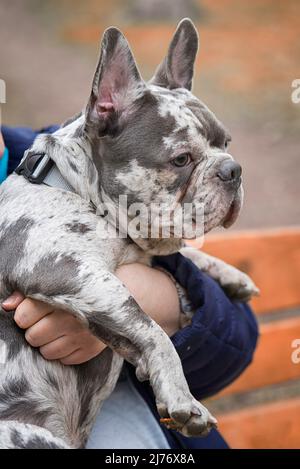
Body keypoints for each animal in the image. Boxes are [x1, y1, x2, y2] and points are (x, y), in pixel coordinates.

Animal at [0, 20, 258, 448]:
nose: (232, 169)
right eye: (181, 159)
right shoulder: (64, 268)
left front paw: (231, 274)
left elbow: (182, 256)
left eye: (226, 143)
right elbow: (151, 329)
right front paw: (183, 398)